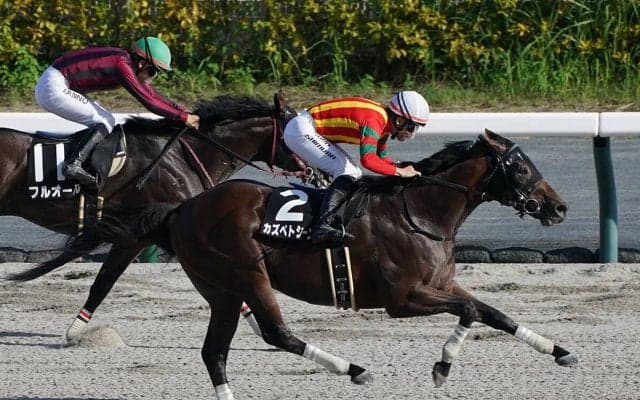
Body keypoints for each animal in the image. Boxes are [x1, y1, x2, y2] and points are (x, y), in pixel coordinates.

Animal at [2, 94, 315, 342]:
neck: (184, 156)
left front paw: (77, 331)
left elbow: (103, 283)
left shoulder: (133, 237)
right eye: (298, 136)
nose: (315, 173)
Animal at [44, 129, 577, 398]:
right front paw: (442, 368)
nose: (558, 208)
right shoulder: (402, 298)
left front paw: (561, 351)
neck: (422, 211)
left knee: (214, 353)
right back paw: (354, 369)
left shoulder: (442, 283)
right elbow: (469, 313)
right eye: (521, 167)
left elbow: (495, 313)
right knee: (276, 333)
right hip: (245, 273)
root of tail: (183, 209)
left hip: (221, 290)